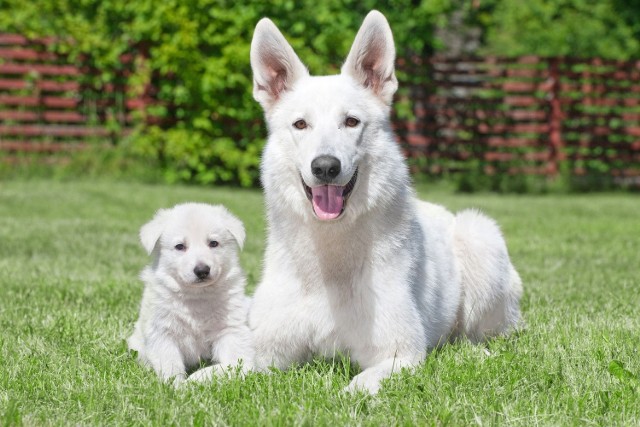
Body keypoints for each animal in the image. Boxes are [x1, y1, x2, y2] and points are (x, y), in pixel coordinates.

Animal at [127, 203, 252, 384]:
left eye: (213, 243)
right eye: (180, 246)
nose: (202, 270)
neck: (196, 295)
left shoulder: (230, 330)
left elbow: (232, 364)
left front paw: (198, 378)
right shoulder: (162, 331)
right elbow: (170, 363)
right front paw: (177, 385)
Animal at [248, 9, 524, 394]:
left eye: (351, 122)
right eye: (300, 124)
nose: (326, 167)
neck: (329, 262)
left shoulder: (400, 355)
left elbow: (355, 388)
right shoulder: (260, 354)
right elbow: (210, 373)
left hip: (478, 238)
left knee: (480, 337)